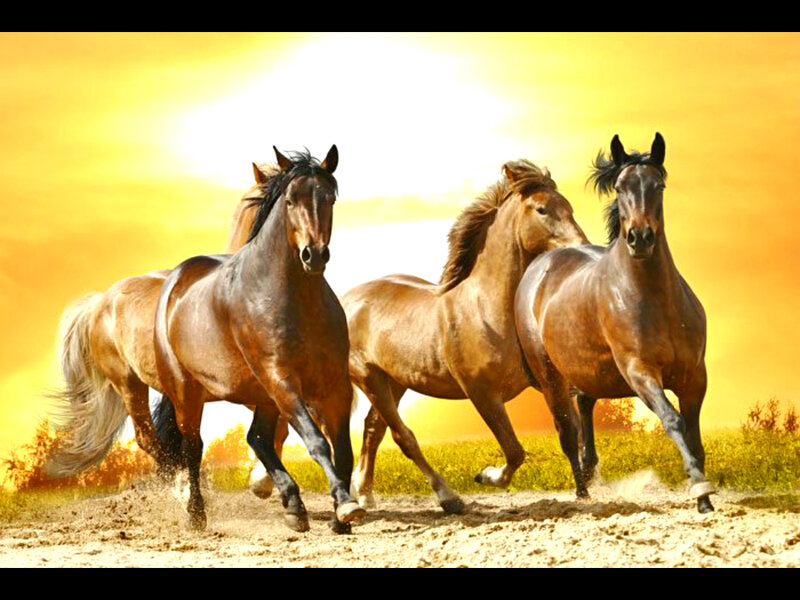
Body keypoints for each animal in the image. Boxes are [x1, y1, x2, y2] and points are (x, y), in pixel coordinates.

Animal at [153, 146, 366, 533]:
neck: (296, 300)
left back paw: (294, 506)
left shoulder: (334, 385)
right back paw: (196, 515)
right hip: (188, 393)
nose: (314, 255)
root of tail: (174, 281)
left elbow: (342, 449)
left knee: (257, 438)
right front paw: (345, 505)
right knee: (194, 447)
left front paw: (341, 515)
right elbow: (317, 443)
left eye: (329, 198)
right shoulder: (283, 380)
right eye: (291, 200)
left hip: (262, 394)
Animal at [341, 160, 588, 513]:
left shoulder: (549, 382)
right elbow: (514, 450)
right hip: (370, 378)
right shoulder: (481, 393)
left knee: (373, 429)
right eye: (542, 209)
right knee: (403, 437)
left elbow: (570, 433)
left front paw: (586, 491)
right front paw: (486, 475)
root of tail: (346, 300)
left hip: (396, 382)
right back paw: (449, 498)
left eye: (568, 206)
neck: (487, 309)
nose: (581, 247)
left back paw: (364, 493)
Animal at [514, 133, 715, 513]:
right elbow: (673, 420)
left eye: (659, 185)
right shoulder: (639, 371)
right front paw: (700, 490)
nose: (640, 238)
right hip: (550, 377)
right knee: (567, 432)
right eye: (621, 187)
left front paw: (704, 494)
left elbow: (695, 435)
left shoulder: (695, 376)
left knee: (584, 407)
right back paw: (582, 492)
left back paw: (589, 472)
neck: (655, 300)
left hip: (589, 370)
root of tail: (540, 265)